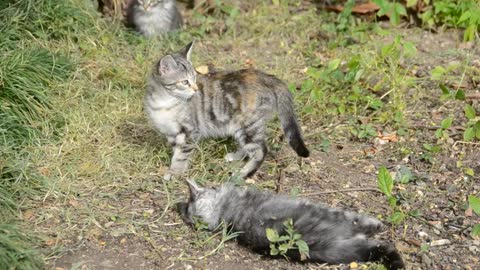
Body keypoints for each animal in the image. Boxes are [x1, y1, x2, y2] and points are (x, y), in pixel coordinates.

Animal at [143, 42, 308, 180]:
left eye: (194, 78)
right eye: (185, 82)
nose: (195, 89)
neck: (165, 102)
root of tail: (264, 76)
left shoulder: (190, 131)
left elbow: (181, 155)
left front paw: (175, 172)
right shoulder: (171, 132)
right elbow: (176, 151)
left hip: (248, 124)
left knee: (261, 150)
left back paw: (244, 173)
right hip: (244, 126)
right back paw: (236, 156)